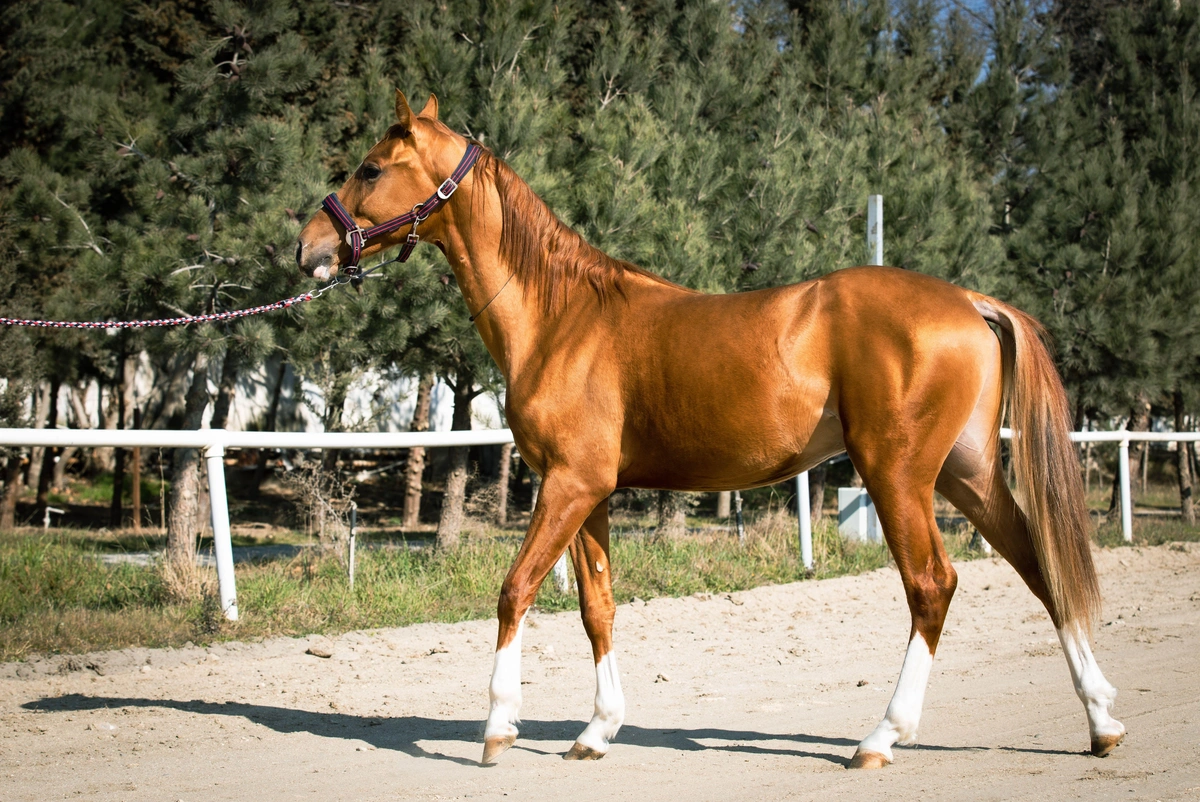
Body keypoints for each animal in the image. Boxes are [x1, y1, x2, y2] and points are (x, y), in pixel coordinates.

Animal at [296, 90, 1125, 768]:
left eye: (370, 168)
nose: (308, 248)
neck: (562, 316)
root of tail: (969, 301)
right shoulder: (590, 494)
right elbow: (596, 605)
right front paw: (597, 730)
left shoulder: (567, 484)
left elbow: (515, 589)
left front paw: (498, 728)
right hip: (968, 474)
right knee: (1040, 567)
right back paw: (1101, 722)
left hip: (899, 476)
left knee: (932, 585)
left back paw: (882, 737)